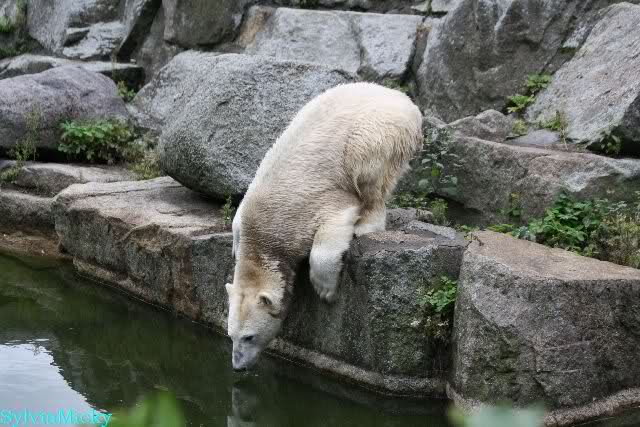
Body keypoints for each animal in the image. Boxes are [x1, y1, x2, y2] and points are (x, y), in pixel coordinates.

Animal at [226, 82, 423, 370]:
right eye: (231, 335)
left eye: (249, 337)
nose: (238, 365)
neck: (264, 233)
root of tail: (403, 99)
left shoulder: (308, 208)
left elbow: (330, 232)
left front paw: (325, 290)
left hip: (377, 134)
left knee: (370, 175)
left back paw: (367, 223)